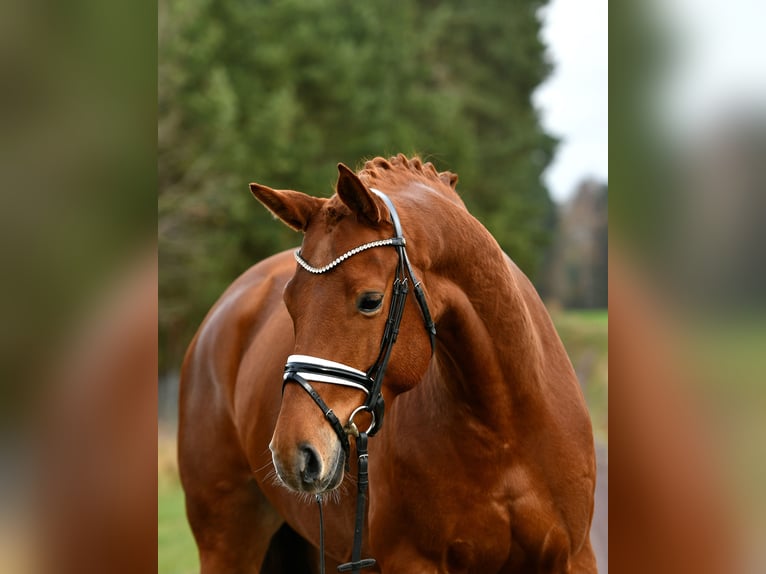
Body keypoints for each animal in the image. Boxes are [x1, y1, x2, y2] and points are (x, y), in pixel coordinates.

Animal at [178, 154, 597, 573]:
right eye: (289, 302)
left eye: (370, 301)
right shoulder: (412, 562)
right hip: (227, 543)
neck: (502, 426)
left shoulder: (574, 558)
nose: (292, 453)